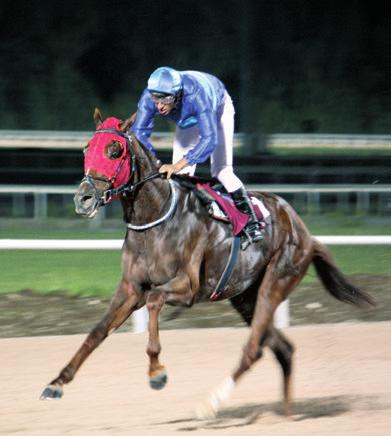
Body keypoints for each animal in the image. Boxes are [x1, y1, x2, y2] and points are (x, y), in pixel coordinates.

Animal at [40, 107, 376, 418]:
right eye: (86, 148)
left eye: (115, 150)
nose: (83, 199)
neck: (155, 218)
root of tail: (306, 232)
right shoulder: (130, 288)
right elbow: (96, 333)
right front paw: (56, 383)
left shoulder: (187, 287)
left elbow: (154, 300)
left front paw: (157, 371)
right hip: (245, 297)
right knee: (282, 348)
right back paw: (286, 413)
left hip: (276, 281)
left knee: (253, 349)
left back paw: (210, 404)